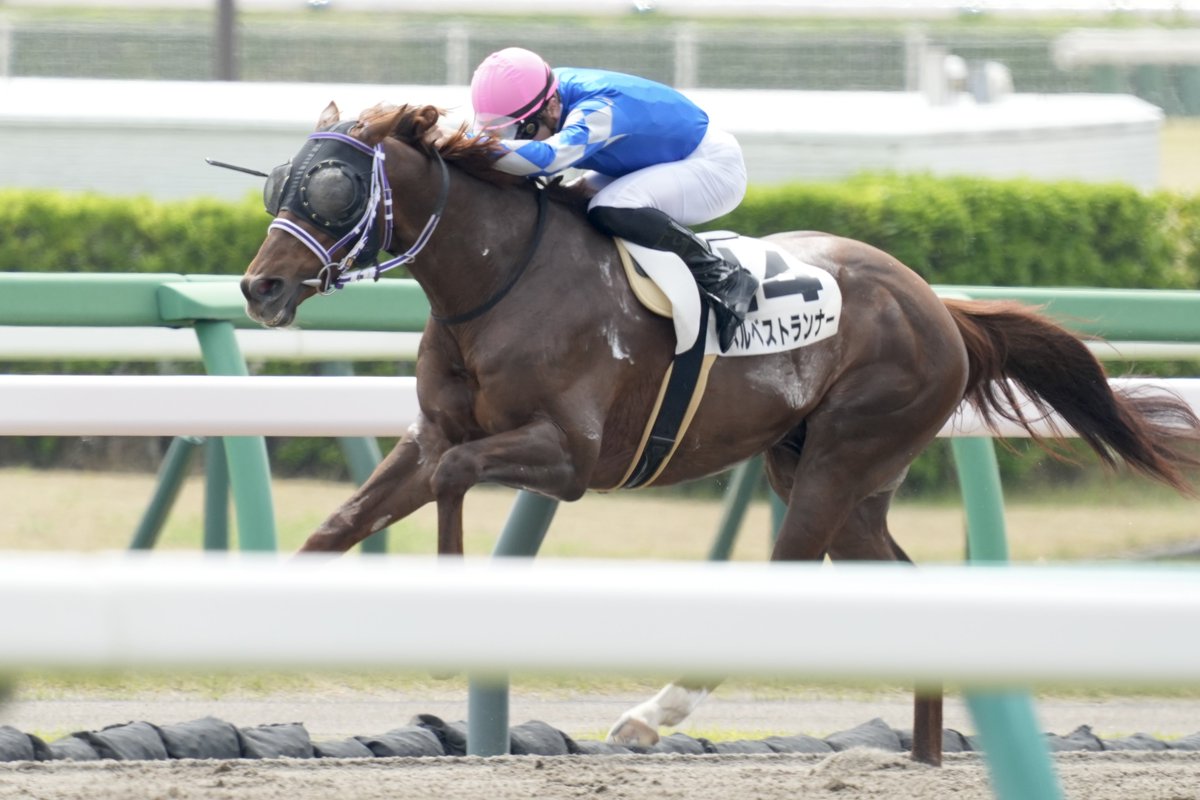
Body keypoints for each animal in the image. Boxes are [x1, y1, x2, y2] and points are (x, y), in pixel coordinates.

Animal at [241, 101, 1200, 762]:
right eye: (283, 180)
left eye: (333, 191)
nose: (259, 287)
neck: (498, 280)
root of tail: (939, 306)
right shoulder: (431, 436)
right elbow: (343, 522)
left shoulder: (570, 458)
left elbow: (455, 482)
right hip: (830, 474)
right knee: (894, 579)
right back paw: (925, 749)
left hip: (844, 455)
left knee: (785, 576)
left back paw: (651, 714)